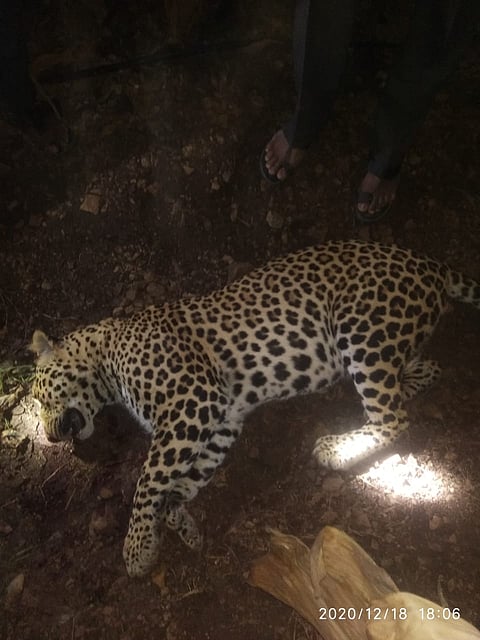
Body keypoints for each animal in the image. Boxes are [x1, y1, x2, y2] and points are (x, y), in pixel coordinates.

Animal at [30, 240, 480, 578]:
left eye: (38, 397)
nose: (49, 437)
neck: (105, 355)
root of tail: (432, 263)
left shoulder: (191, 401)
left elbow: (148, 480)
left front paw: (138, 547)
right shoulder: (220, 418)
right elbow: (183, 481)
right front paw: (182, 525)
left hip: (364, 331)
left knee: (393, 417)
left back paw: (334, 448)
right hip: (393, 342)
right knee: (426, 371)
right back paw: (408, 386)